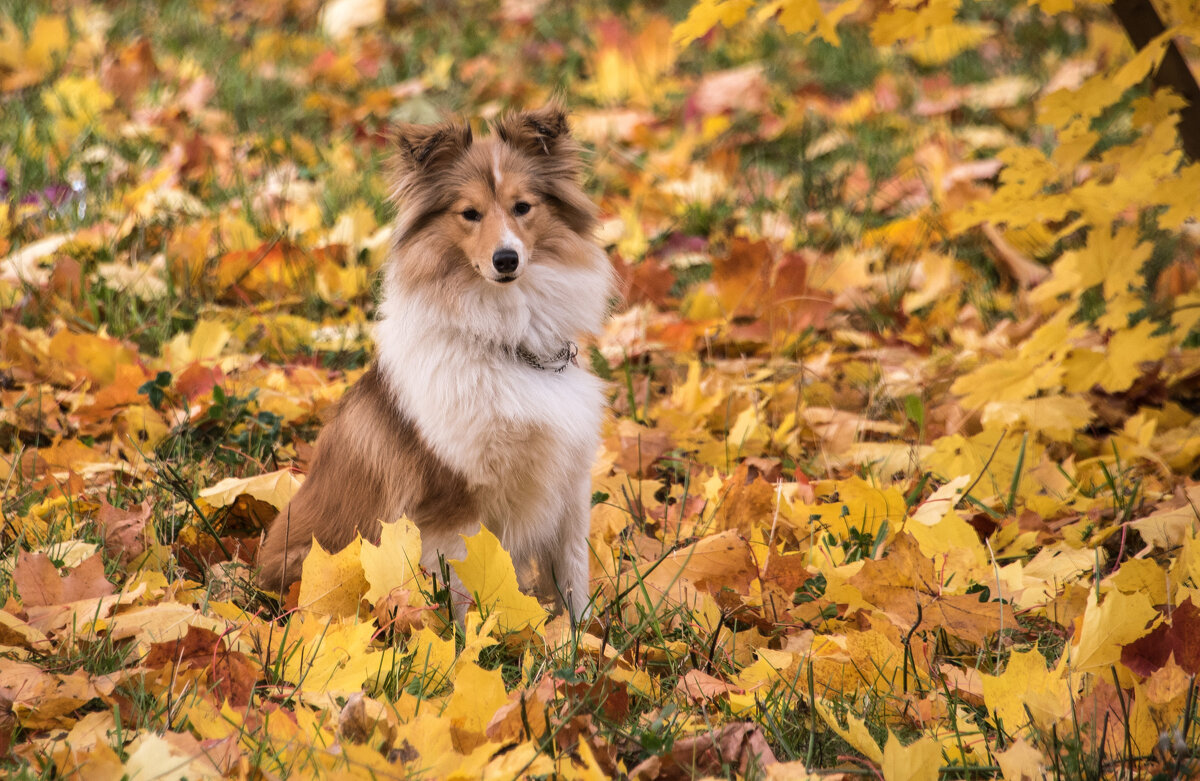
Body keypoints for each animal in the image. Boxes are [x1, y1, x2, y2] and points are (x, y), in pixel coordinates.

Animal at [252, 102, 609, 623]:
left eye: (523, 207)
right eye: (469, 214)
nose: (506, 259)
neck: (505, 341)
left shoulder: (570, 482)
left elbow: (573, 571)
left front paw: (586, 637)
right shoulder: (454, 502)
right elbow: (463, 589)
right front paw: (471, 640)